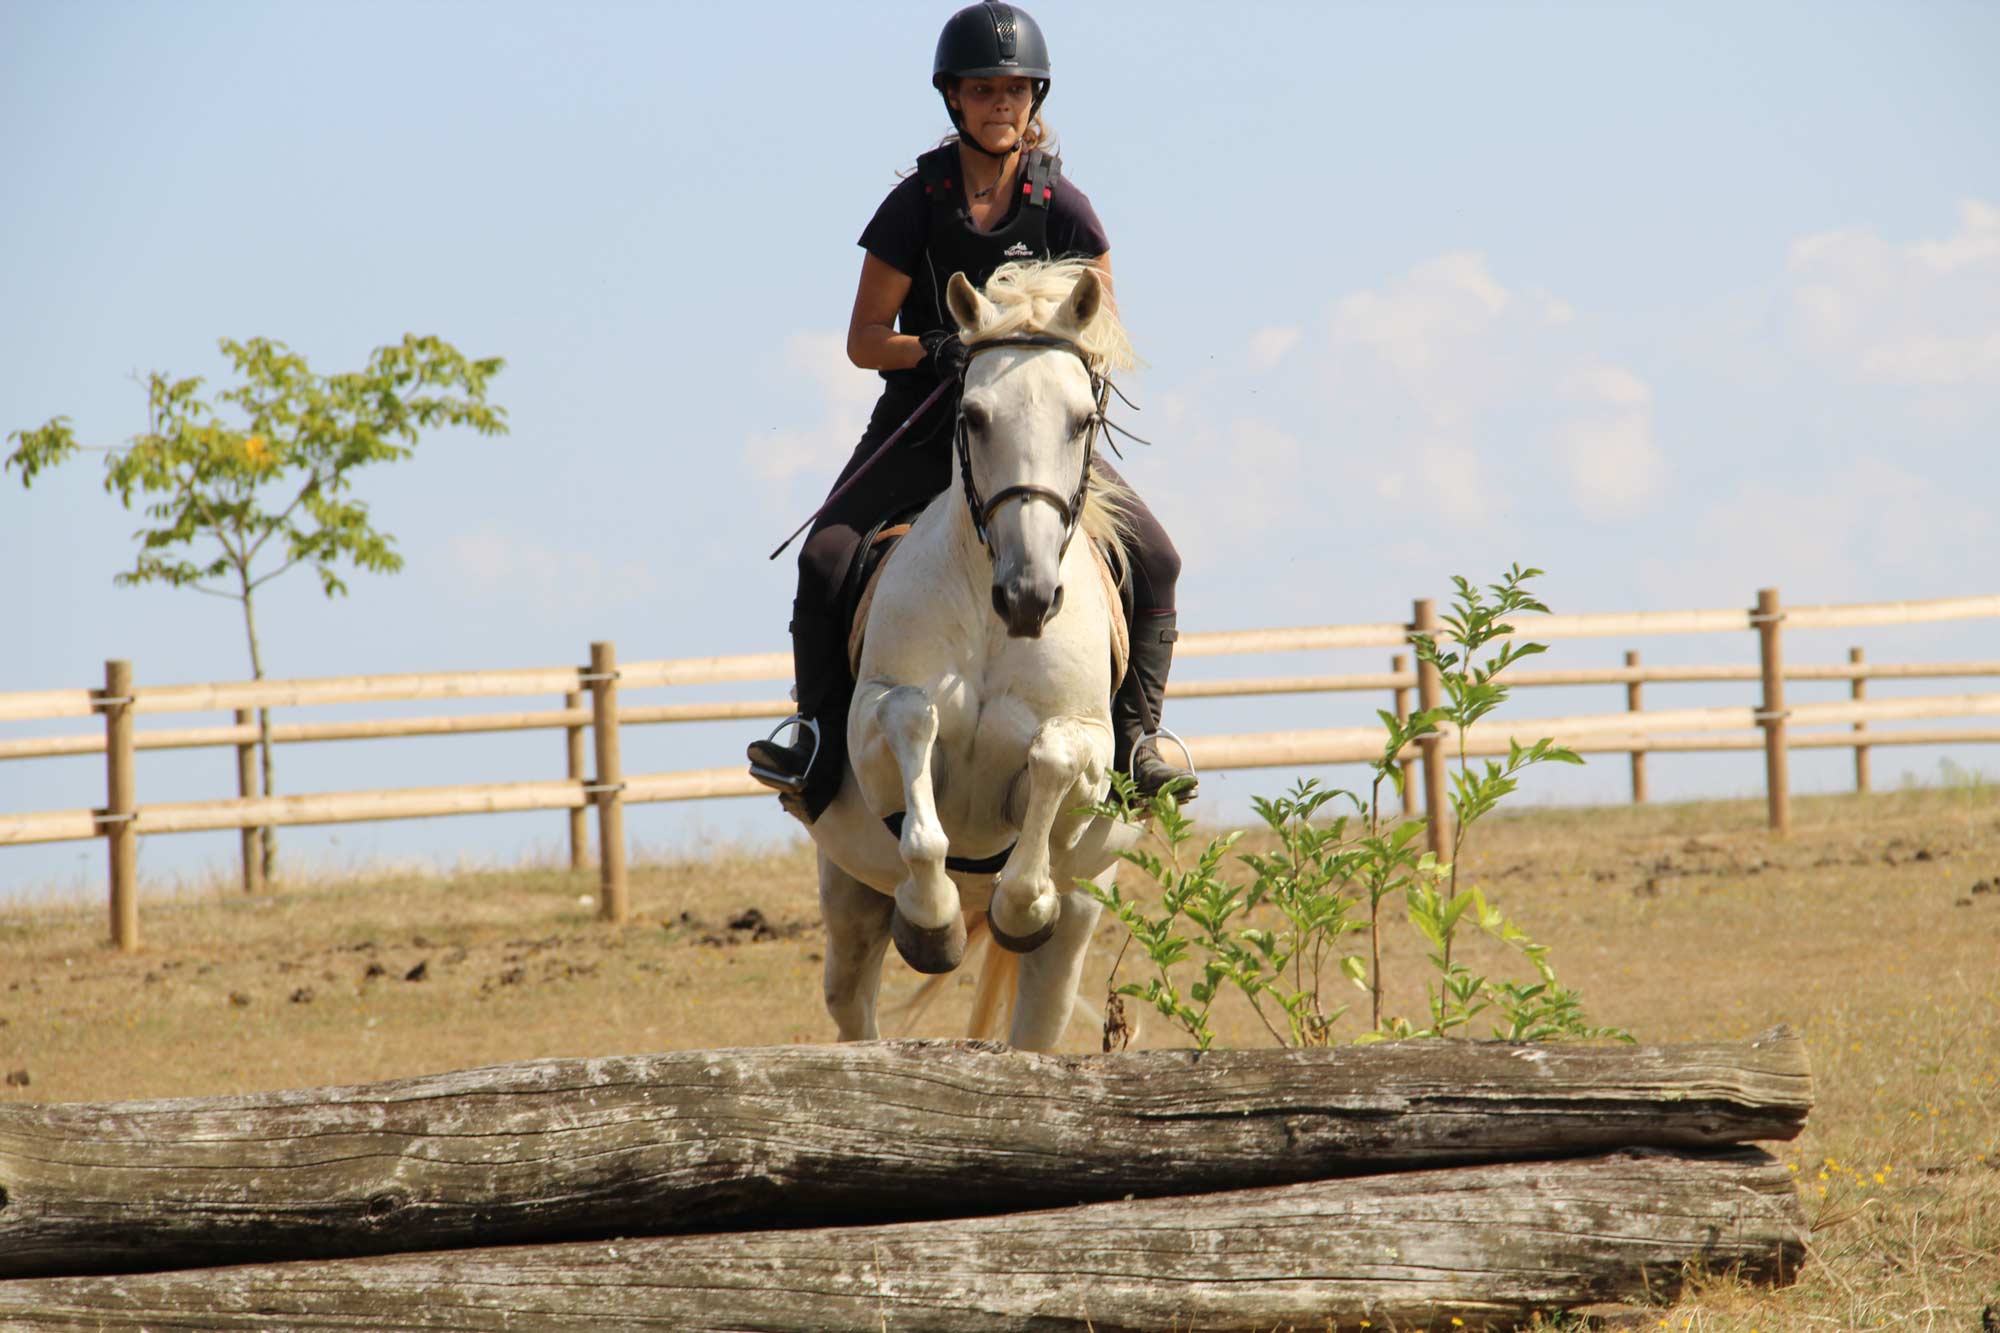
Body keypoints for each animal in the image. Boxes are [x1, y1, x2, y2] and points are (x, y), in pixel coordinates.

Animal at [796, 256, 1144, 1048]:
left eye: (1083, 420)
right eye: (974, 416)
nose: (1028, 595)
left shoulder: (1087, 747)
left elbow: (1051, 760)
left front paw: (1021, 905)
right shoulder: (874, 727)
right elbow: (914, 725)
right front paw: (934, 924)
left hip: (1080, 918)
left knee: (1039, 1019)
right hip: (851, 893)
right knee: (853, 1007)